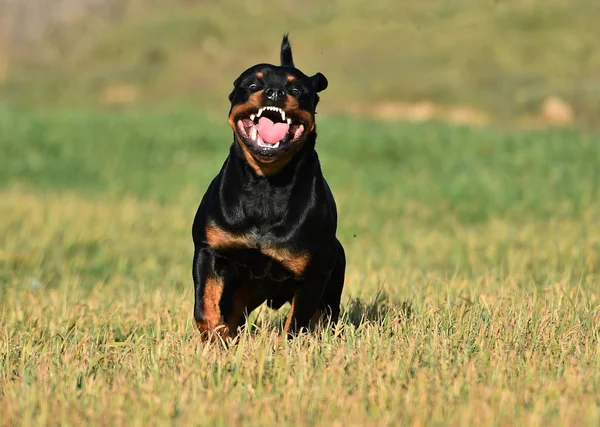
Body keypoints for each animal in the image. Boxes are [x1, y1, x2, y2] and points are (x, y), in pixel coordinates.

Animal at [190, 34, 344, 342]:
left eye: (296, 89)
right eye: (252, 85)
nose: (274, 92)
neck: (266, 185)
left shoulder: (315, 275)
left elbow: (296, 326)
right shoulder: (208, 249)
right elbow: (205, 308)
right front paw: (214, 338)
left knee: (325, 317)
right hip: (242, 287)